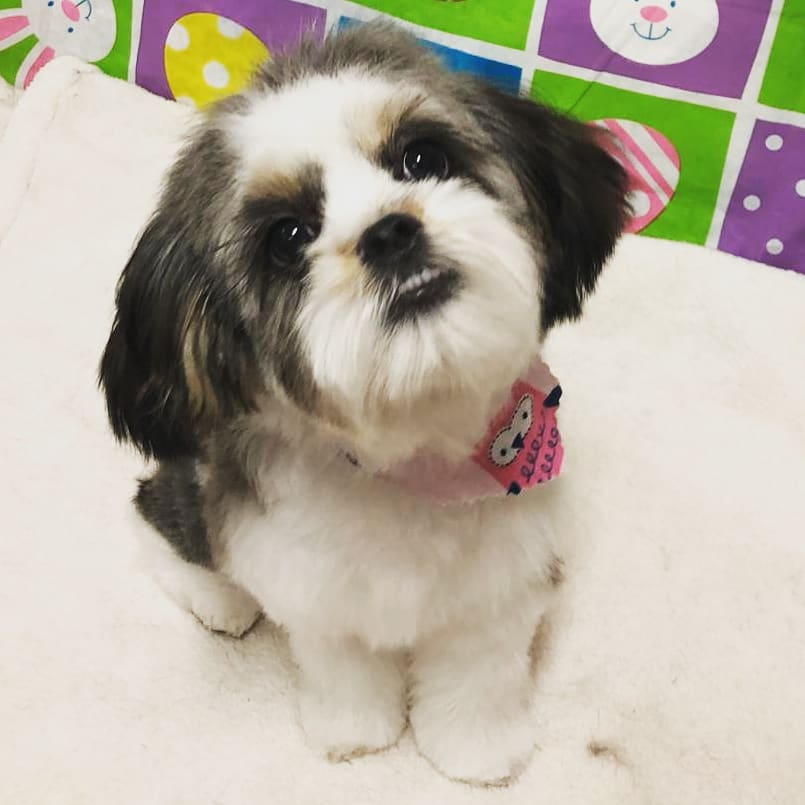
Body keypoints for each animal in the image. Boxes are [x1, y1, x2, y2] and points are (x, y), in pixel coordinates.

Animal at [99, 23, 628, 784]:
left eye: (422, 158)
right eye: (288, 236)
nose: (389, 233)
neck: (412, 459)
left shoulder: (500, 587)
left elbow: (477, 677)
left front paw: (475, 750)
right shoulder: (315, 592)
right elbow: (344, 669)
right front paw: (355, 734)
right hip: (195, 495)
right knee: (158, 513)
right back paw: (218, 596)